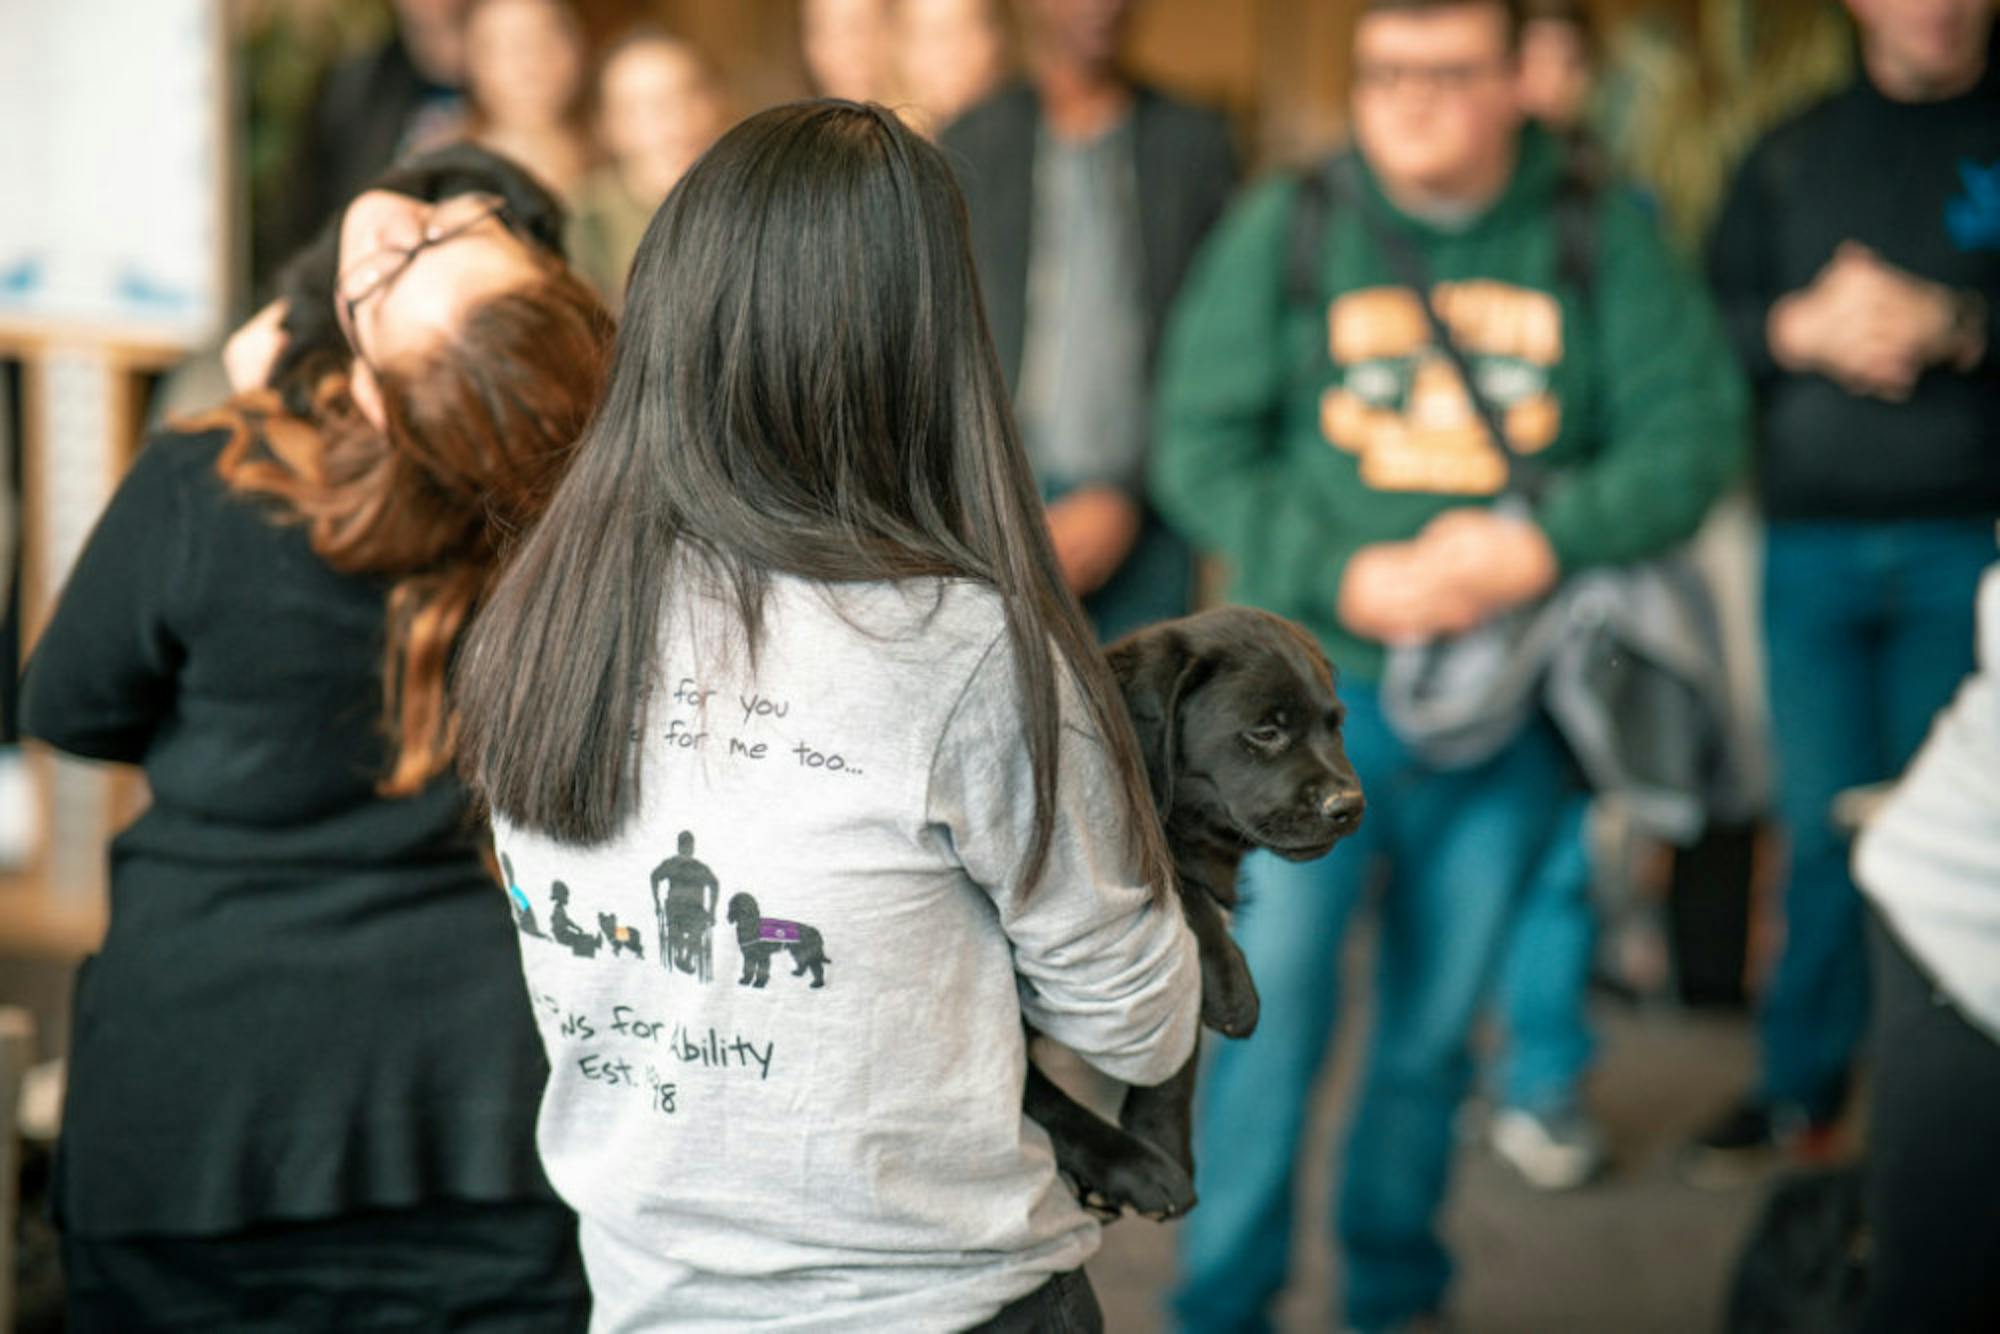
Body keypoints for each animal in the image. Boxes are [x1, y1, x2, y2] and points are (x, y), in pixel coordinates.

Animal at [1032, 604, 1360, 1224]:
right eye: (1266, 731)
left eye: (1336, 726)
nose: (1350, 806)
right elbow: (1179, 885)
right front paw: (1234, 989)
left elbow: (1175, 1057)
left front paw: (1165, 1136)